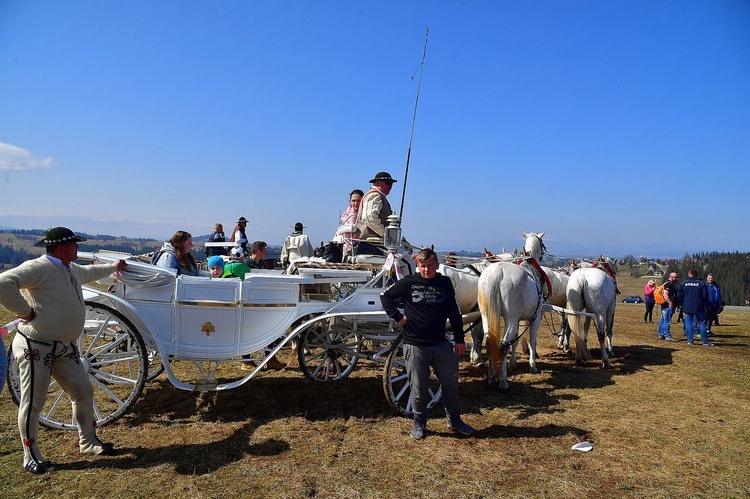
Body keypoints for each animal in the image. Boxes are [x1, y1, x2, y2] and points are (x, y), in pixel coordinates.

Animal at [482, 260, 548, 392]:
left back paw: (492, 377)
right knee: (503, 346)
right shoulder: (535, 317)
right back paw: (503, 381)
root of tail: (498, 270)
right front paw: (533, 365)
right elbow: (532, 341)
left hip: (486, 316)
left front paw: (512, 363)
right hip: (511, 320)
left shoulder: (516, 320)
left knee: (489, 342)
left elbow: (515, 342)